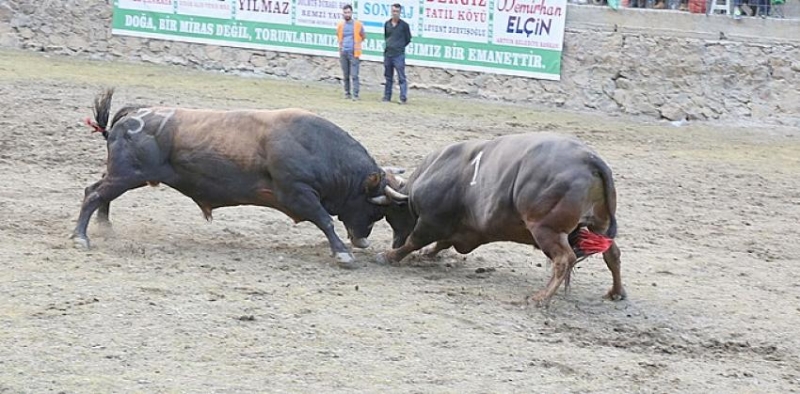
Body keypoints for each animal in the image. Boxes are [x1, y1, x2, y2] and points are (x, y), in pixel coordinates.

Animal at [71, 89, 394, 268]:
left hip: (122, 174)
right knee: (94, 193)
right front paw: (342, 254)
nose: (363, 241)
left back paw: (104, 227)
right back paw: (81, 237)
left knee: (98, 191)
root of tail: (133, 114)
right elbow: (325, 220)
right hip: (127, 174)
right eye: (374, 209)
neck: (317, 146)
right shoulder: (298, 193)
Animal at [376, 134, 624, 304]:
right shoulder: (463, 230)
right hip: (598, 226)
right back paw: (616, 292)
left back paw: (540, 298)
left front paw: (390, 255)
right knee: (612, 253)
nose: (394, 241)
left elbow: (415, 241)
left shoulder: (431, 221)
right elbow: (441, 243)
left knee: (564, 259)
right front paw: (427, 254)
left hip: (546, 230)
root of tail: (590, 159)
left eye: (390, 215)